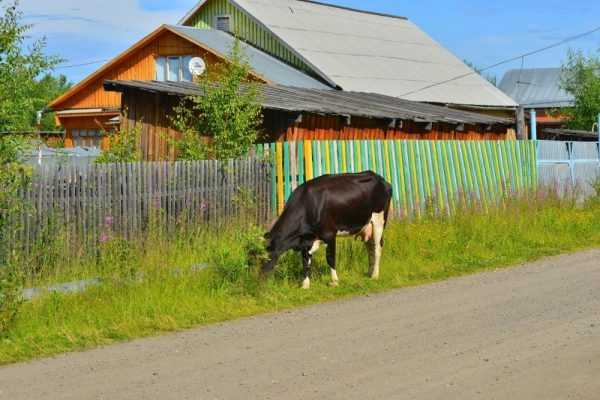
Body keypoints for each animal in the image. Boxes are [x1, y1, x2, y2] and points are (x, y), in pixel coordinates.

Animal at [260, 170, 392, 290]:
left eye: (266, 258)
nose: (257, 280)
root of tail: (380, 178)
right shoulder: (306, 239)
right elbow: (305, 261)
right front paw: (305, 285)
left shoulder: (330, 234)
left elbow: (330, 258)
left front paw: (334, 281)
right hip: (366, 226)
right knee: (370, 247)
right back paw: (369, 272)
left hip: (379, 221)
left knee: (377, 247)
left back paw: (375, 275)